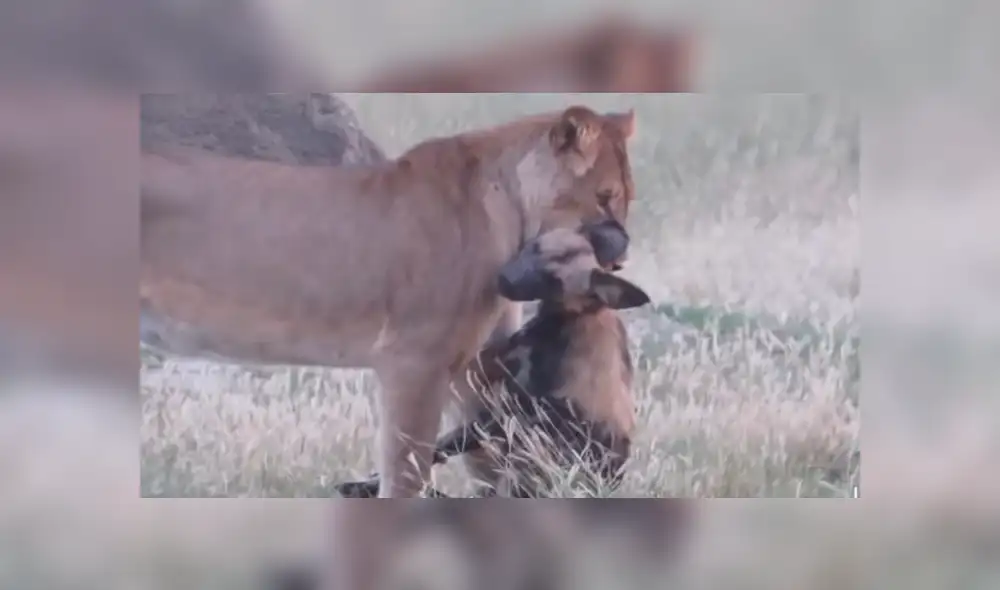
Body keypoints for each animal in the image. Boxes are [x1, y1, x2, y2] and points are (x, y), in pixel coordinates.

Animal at [141, 103, 638, 497]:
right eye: (605, 197)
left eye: (627, 198)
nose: (621, 258)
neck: (512, 213)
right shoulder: (414, 361)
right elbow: (407, 472)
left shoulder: (481, 365)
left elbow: (490, 460)